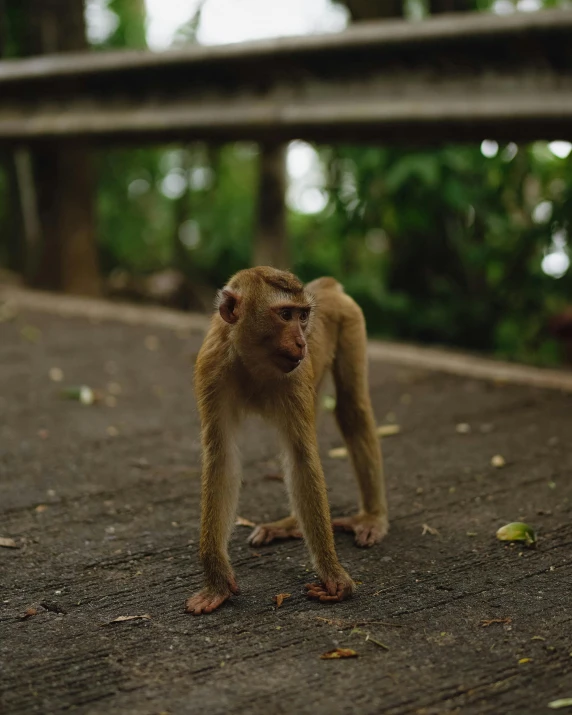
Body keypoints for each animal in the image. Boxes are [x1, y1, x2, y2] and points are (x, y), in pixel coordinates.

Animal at [185, 266, 386, 612]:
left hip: (351, 320)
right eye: (285, 315)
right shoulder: (211, 368)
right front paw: (217, 582)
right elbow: (222, 458)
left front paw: (333, 576)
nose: (301, 341)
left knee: (352, 410)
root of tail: (326, 286)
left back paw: (371, 517)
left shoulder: (295, 376)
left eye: (303, 316)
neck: (251, 359)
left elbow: (301, 458)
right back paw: (291, 524)